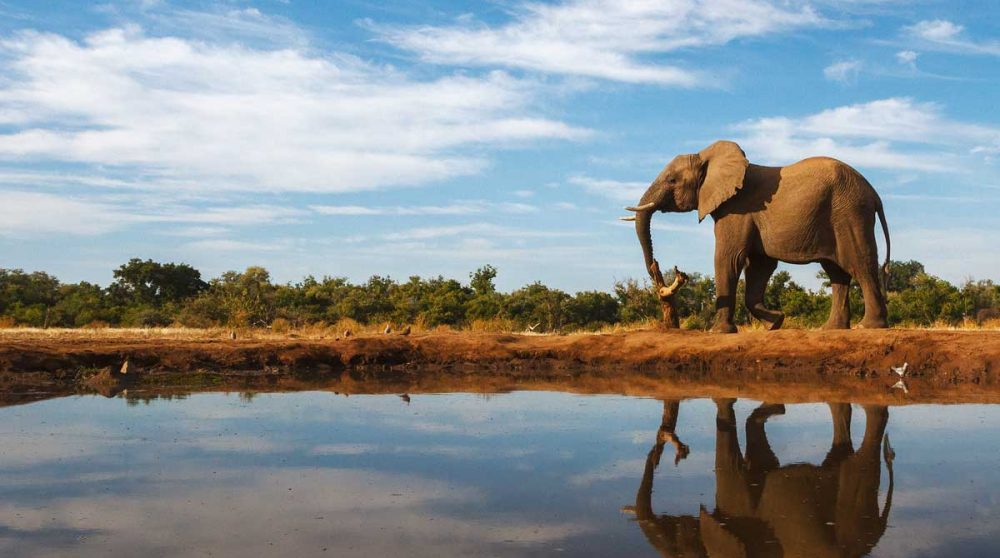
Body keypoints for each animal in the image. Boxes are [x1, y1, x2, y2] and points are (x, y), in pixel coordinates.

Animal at [623, 141, 891, 333]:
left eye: (671, 180)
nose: (658, 272)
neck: (706, 156)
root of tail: (874, 194)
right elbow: (759, 266)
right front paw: (776, 323)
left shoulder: (736, 210)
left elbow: (729, 259)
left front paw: (719, 332)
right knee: (837, 272)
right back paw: (830, 329)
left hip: (849, 214)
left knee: (859, 264)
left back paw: (868, 327)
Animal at [625, 399, 894, 557]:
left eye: (678, 543)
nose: (674, 451)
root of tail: (878, 531)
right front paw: (776, 409)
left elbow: (730, 467)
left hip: (851, 516)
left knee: (858, 464)